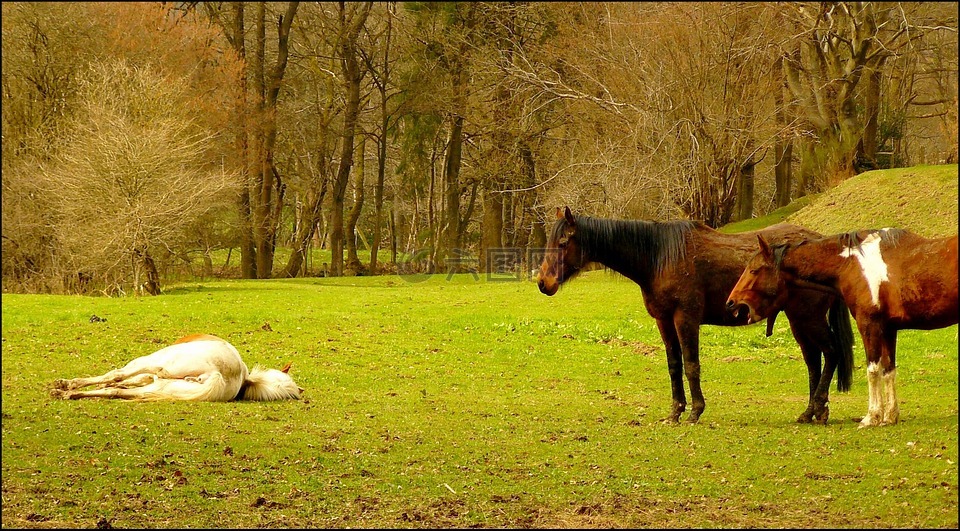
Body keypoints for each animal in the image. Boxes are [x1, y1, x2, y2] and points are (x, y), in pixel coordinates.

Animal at [49, 334, 304, 402]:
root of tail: (218, 375)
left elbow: (118, 376)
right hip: (157, 388)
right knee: (117, 390)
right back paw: (67, 394)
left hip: (151, 363)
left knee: (117, 377)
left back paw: (66, 388)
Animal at [540, 208, 856, 424]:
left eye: (563, 243)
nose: (544, 283)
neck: (659, 256)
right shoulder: (664, 320)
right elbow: (674, 365)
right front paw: (675, 411)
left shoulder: (685, 318)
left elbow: (691, 365)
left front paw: (695, 411)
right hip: (799, 321)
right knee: (814, 362)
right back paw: (810, 411)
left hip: (809, 319)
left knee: (831, 353)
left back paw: (820, 408)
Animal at [728, 229, 960, 428]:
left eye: (754, 270)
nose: (732, 302)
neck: (853, 265)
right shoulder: (888, 328)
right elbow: (888, 371)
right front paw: (889, 416)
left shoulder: (869, 324)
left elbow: (873, 370)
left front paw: (872, 417)